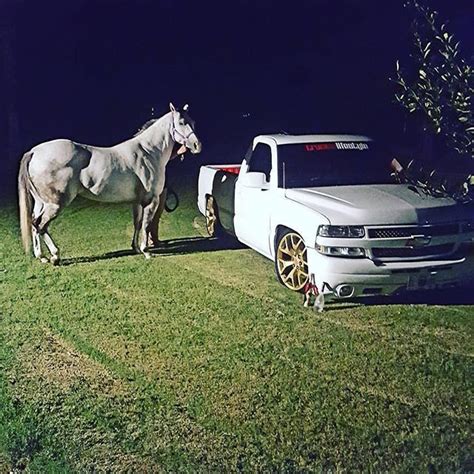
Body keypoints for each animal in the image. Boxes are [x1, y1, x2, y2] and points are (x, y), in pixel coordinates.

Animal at [17, 102, 200, 262]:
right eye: (182, 122)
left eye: (193, 122)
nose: (197, 145)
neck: (148, 151)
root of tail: (34, 152)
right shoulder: (151, 200)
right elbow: (146, 225)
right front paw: (146, 251)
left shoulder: (137, 201)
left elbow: (137, 223)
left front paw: (135, 248)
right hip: (55, 204)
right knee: (40, 225)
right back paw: (55, 256)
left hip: (41, 202)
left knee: (34, 223)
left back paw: (42, 257)